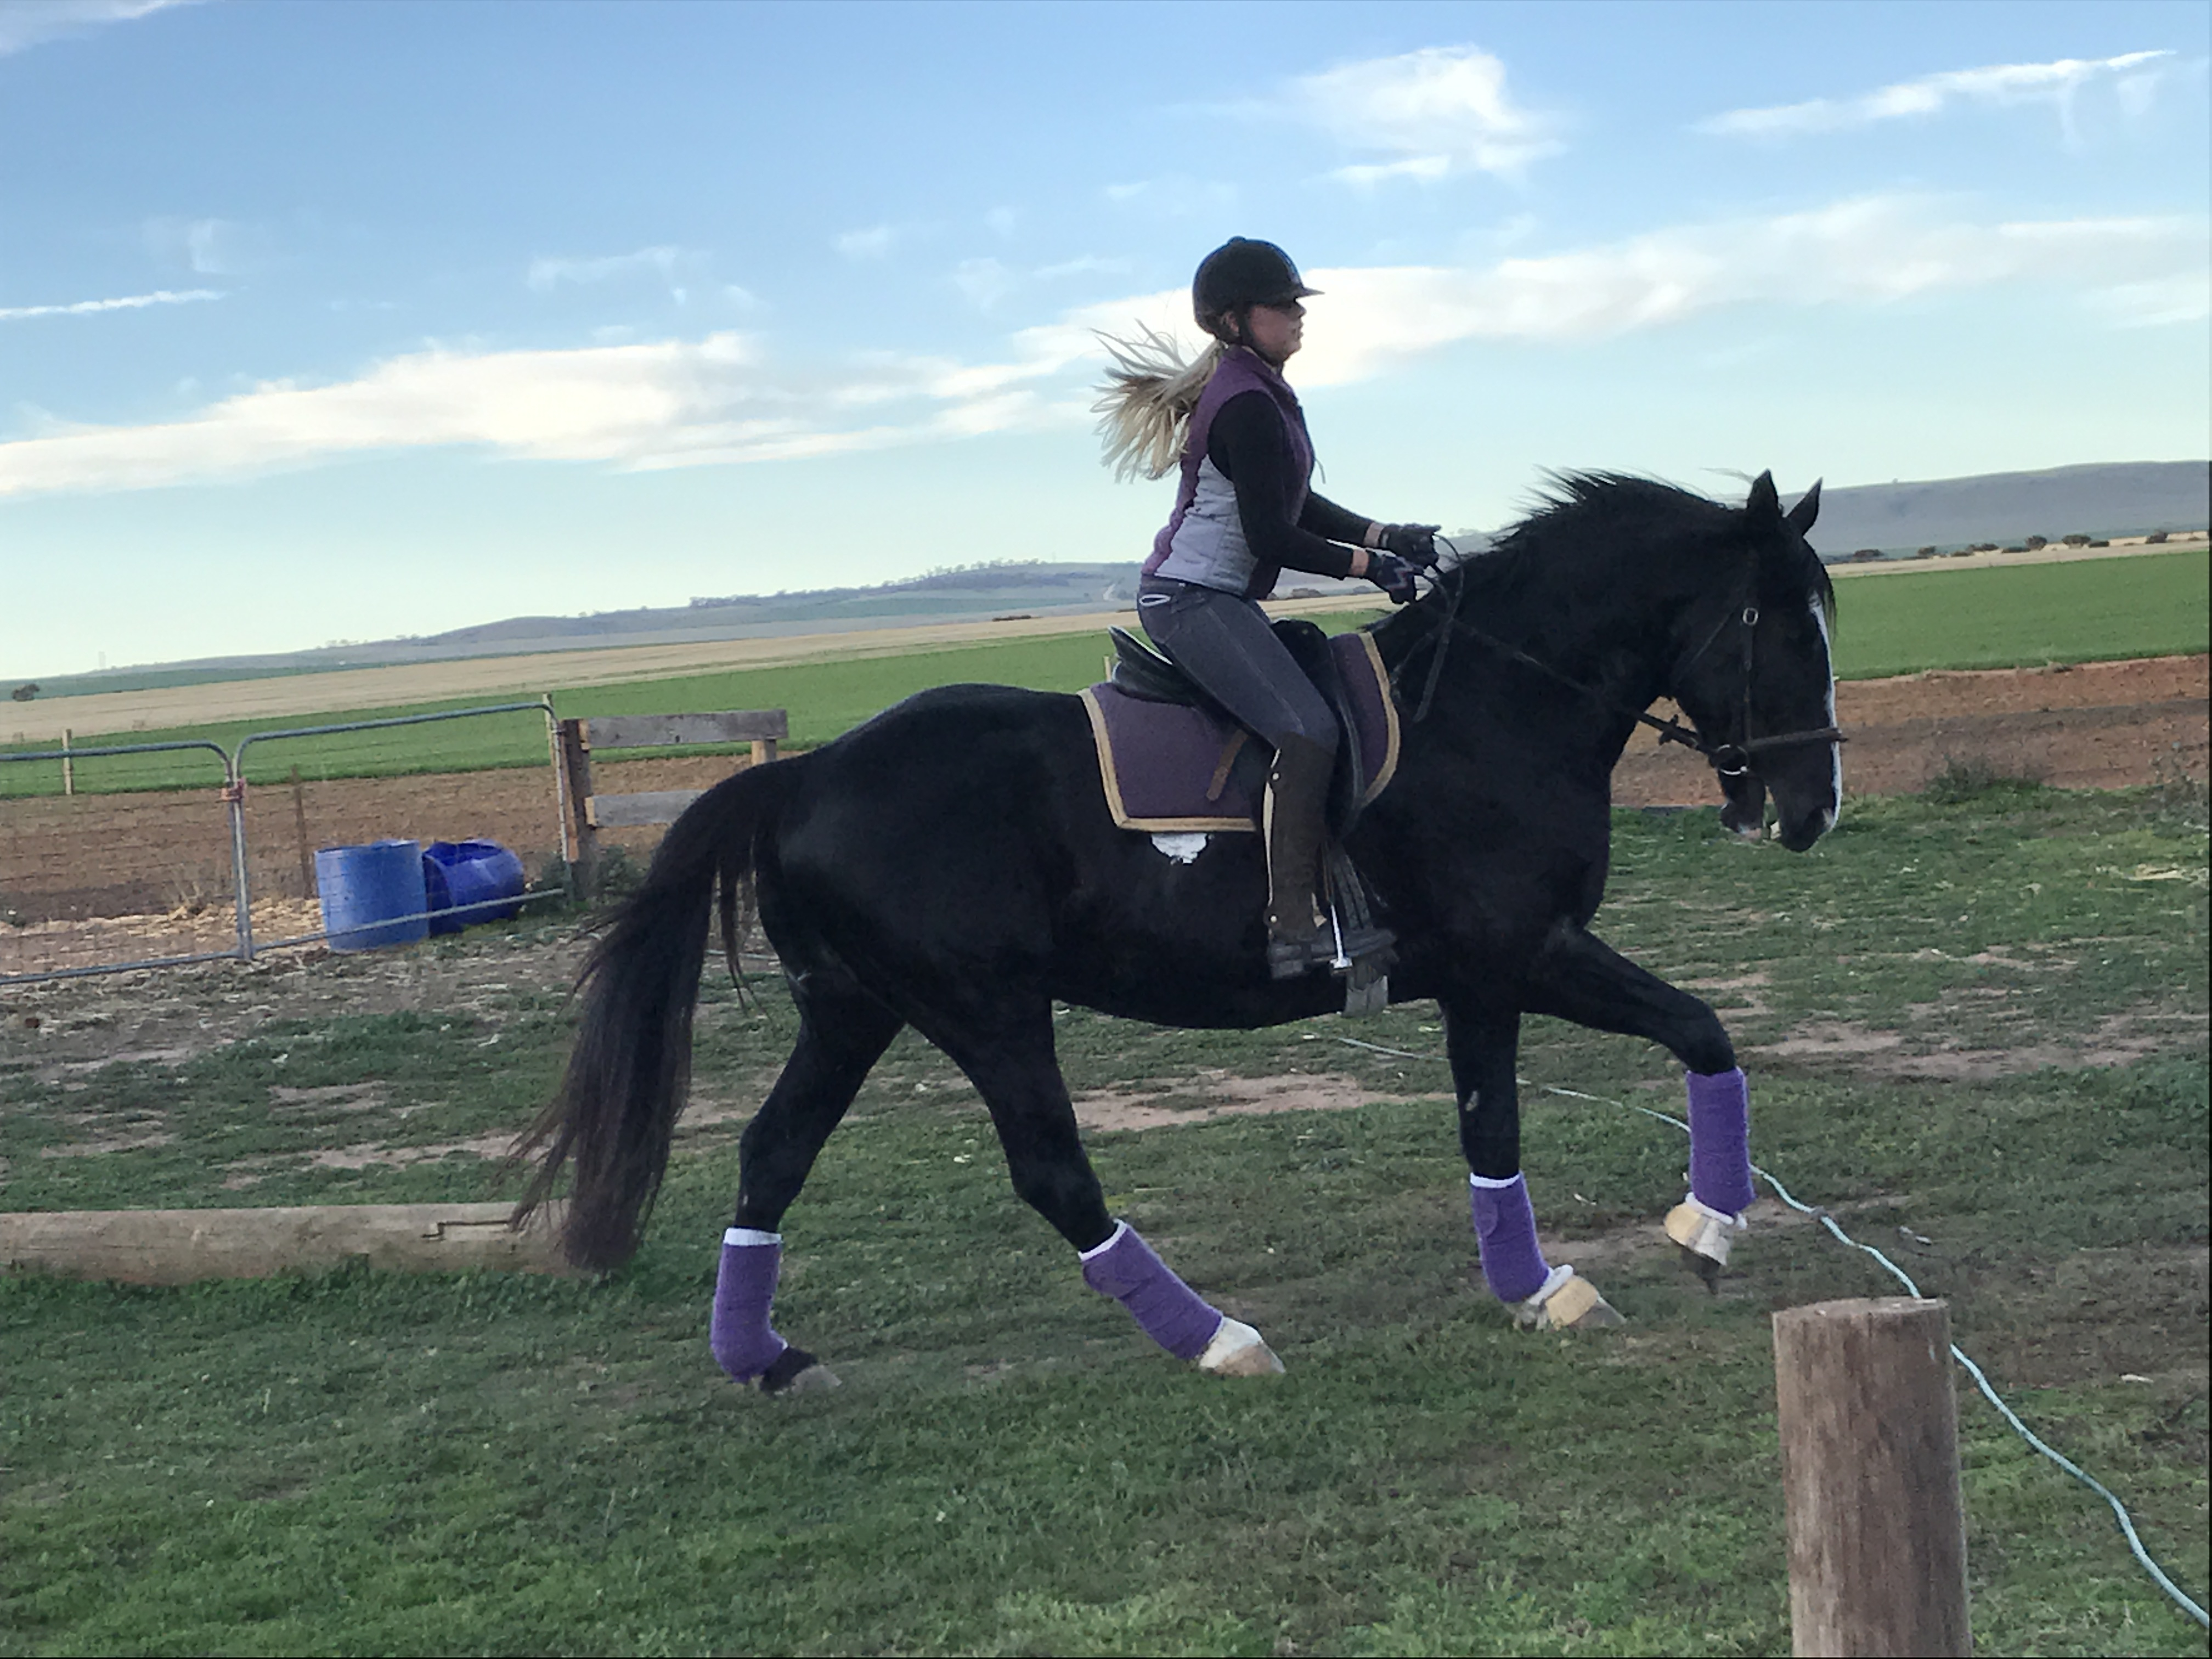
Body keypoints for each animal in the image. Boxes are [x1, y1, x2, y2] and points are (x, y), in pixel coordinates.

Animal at [516, 470, 1840, 1392]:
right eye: (1774, 622)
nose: (1813, 807)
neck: (1492, 704)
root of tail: (806, 773)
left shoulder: (1515, 966)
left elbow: (1679, 1046)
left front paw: (1676, 1239)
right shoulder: (1507, 960)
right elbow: (1539, 1107)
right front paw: (1590, 1271)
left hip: (856, 1011)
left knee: (772, 1154)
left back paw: (766, 1357)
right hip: (987, 1012)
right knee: (1053, 1174)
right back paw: (1218, 1339)